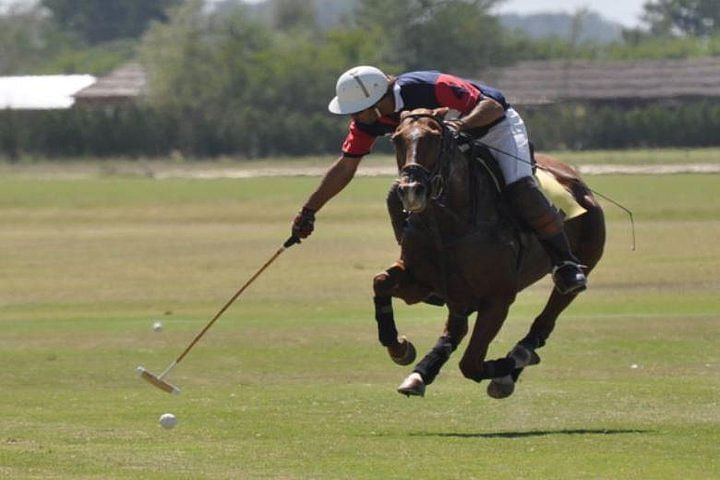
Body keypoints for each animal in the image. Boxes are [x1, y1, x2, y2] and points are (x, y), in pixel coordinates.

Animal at [372, 108, 600, 398]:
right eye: (396, 139)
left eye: (434, 138)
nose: (411, 191)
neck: (450, 223)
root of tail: (578, 181)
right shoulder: (423, 283)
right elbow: (380, 281)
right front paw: (400, 348)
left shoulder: (498, 298)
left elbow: (470, 364)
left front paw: (507, 369)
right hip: (457, 294)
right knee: (455, 329)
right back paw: (420, 374)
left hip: (584, 263)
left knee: (548, 315)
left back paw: (521, 353)